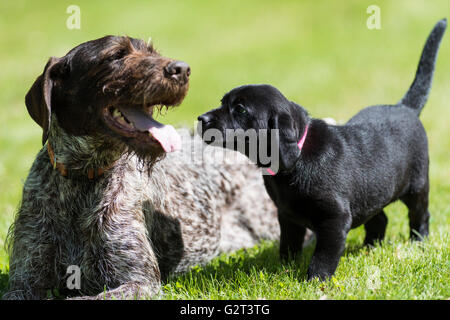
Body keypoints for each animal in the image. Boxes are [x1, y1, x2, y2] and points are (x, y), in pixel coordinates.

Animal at [198, 20, 446, 280]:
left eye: (240, 109)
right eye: (223, 102)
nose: (201, 119)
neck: (296, 159)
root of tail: (405, 107)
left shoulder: (335, 219)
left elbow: (324, 255)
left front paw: (315, 279)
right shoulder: (288, 216)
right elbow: (288, 245)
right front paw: (283, 268)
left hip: (417, 187)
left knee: (420, 216)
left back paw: (418, 243)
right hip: (373, 189)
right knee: (379, 217)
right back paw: (370, 247)